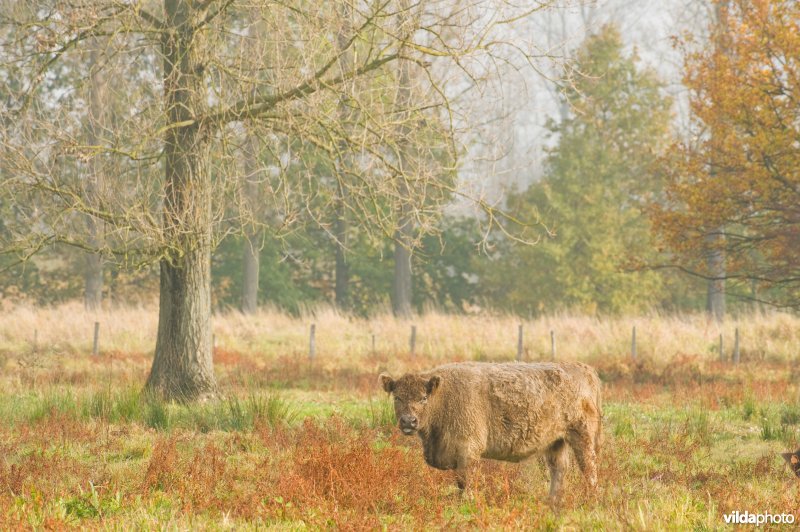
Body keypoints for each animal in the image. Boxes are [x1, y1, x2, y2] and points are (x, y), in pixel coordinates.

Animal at [380, 360, 600, 500]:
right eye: (397, 397)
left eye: (423, 398)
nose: (409, 421)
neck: (442, 397)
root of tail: (585, 369)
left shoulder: (468, 450)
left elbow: (465, 480)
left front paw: (467, 501)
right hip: (556, 442)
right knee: (558, 470)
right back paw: (552, 501)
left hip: (582, 437)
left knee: (589, 469)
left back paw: (590, 499)